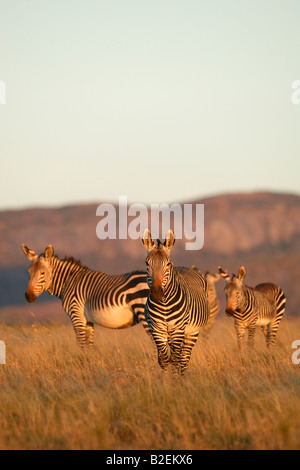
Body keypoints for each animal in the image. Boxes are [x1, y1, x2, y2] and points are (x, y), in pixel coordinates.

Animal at [21, 244, 150, 346]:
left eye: (42, 273)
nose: (28, 296)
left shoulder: (76, 316)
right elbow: (89, 345)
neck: (68, 282)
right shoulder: (88, 320)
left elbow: (82, 345)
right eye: (29, 272)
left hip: (144, 312)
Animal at [142, 229, 209, 376]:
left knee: (184, 357)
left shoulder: (178, 330)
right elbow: (163, 359)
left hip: (191, 332)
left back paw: (182, 378)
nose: (157, 292)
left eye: (168, 264)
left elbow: (174, 359)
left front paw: (174, 381)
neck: (164, 304)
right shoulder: (157, 329)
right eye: (147, 263)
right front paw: (164, 381)